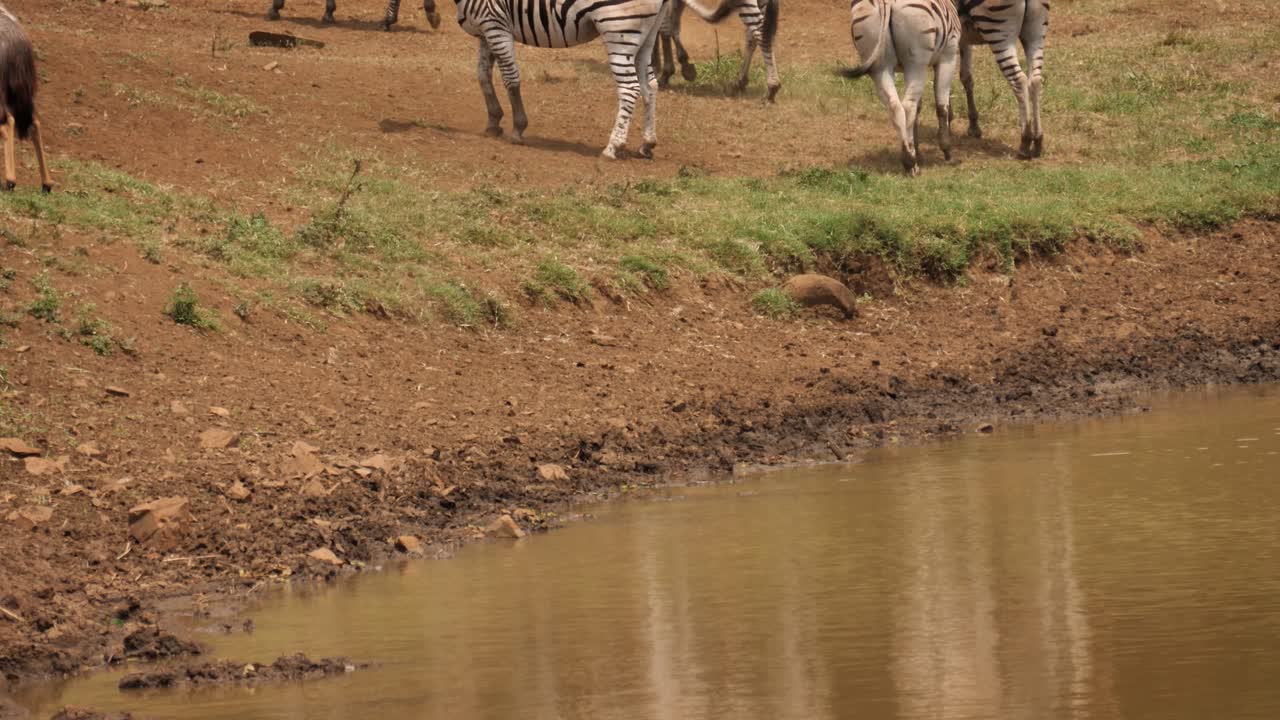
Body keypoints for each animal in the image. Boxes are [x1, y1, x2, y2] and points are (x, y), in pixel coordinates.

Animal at [652, 0, 781, 102]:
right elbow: (673, 23)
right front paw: (682, 65)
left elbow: (664, 27)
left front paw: (665, 72)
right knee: (753, 37)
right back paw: (739, 83)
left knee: (761, 34)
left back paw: (771, 88)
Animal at [840, 0, 959, 176]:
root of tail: (885, 2)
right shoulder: (948, 56)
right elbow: (941, 107)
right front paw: (947, 151)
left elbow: (919, 109)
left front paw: (918, 150)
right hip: (916, 63)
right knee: (908, 106)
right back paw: (911, 163)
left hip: (879, 65)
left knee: (895, 106)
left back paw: (909, 158)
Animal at [954, 0, 1049, 158]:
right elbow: (965, 77)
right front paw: (973, 125)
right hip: (1036, 32)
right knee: (1035, 81)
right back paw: (1037, 141)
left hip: (998, 31)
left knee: (1019, 80)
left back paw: (1025, 140)